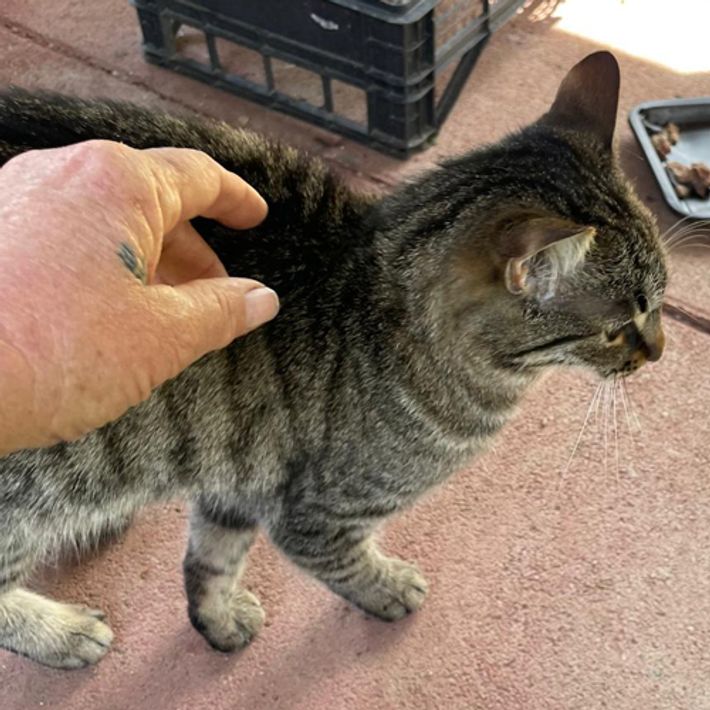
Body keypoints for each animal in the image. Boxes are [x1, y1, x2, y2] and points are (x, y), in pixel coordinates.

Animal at [0, 51, 667, 669]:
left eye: (662, 303)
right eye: (617, 330)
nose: (659, 351)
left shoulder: (241, 471)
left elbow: (211, 559)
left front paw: (216, 621)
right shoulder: (316, 514)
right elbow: (346, 564)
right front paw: (388, 589)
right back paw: (58, 631)